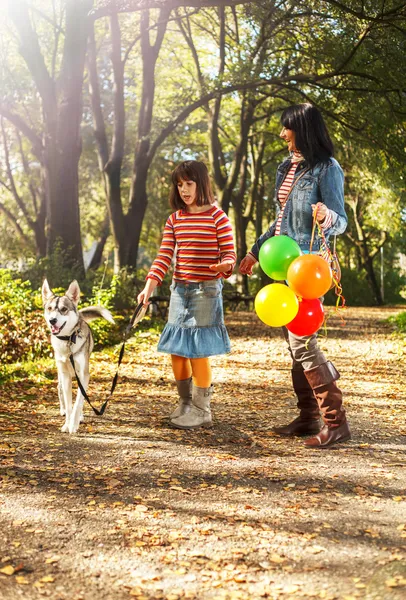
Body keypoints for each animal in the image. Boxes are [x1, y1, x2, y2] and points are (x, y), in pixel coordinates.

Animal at [42, 278, 114, 434]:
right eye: (49, 308)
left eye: (64, 309)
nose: (52, 320)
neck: (68, 340)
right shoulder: (65, 375)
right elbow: (70, 405)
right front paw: (67, 424)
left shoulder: (83, 374)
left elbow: (78, 402)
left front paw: (74, 425)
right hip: (61, 374)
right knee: (60, 390)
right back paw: (63, 410)